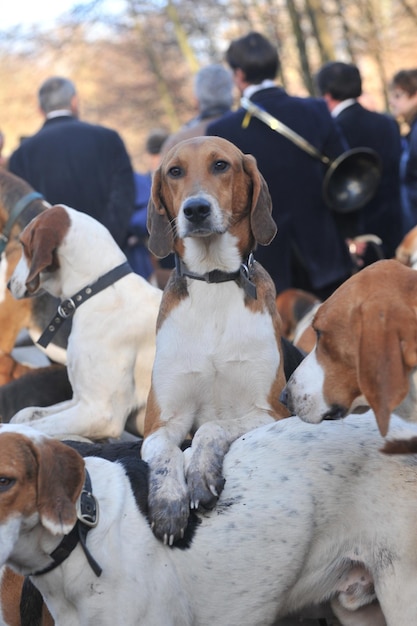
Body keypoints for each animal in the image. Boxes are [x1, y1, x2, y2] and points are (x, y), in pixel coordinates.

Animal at [8, 205, 161, 438]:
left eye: (24, 245)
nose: (8, 285)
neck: (97, 290)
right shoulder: (80, 399)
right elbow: (25, 414)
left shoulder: (101, 413)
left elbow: (24, 426)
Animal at [141, 136, 290, 540]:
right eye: (174, 171)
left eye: (221, 165)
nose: (195, 209)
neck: (213, 280)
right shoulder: (161, 422)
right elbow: (166, 452)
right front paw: (168, 500)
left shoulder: (270, 412)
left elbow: (211, 427)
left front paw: (200, 472)